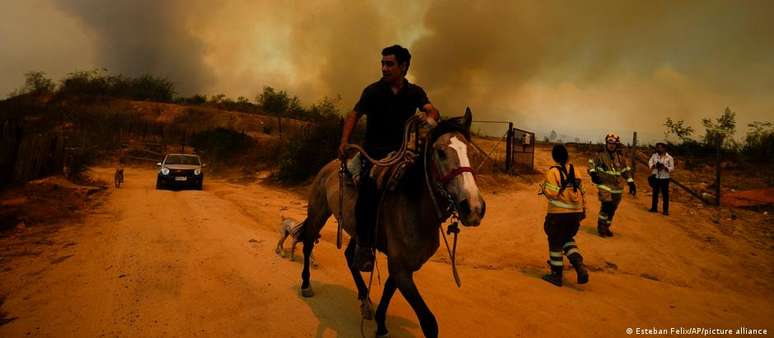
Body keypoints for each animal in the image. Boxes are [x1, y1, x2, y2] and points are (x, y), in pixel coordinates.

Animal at [300, 109, 488, 336]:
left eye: (471, 153)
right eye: (441, 153)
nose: (474, 208)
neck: (415, 208)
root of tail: (331, 165)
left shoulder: (405, 265)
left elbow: (389, 291)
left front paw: (381, 323)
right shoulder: (400, 268)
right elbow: (429, 322)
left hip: (358, 232)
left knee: (351, 257)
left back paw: (365, 300)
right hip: (318, 213)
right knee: (308, 243)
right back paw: (306, 284)